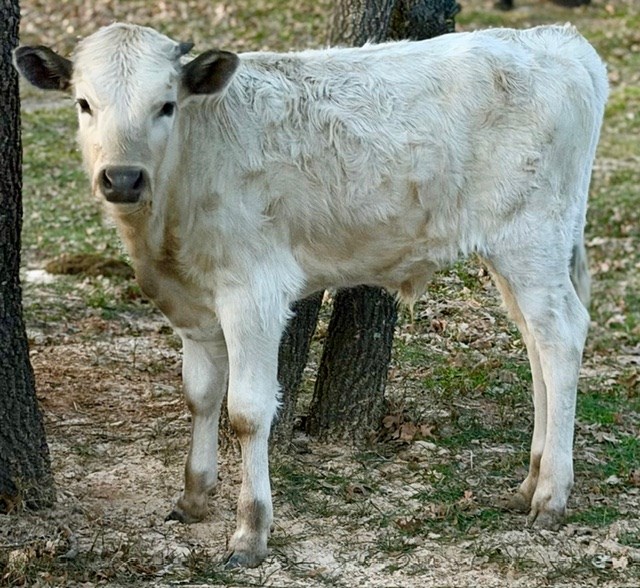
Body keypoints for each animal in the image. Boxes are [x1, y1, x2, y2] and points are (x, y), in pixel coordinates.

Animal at [15, 23, 607, 568]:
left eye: (165, 105)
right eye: (84, 103)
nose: (122, 178)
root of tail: (557, 37)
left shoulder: (253, 291)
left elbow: (247, 411)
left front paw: (250, 531)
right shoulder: (194, 304)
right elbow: (200, 395)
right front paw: (193, 495)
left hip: (531, 237)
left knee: (561, 336)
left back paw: (551, 494)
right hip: (516, 253)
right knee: (536, 342)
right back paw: (530, 481)